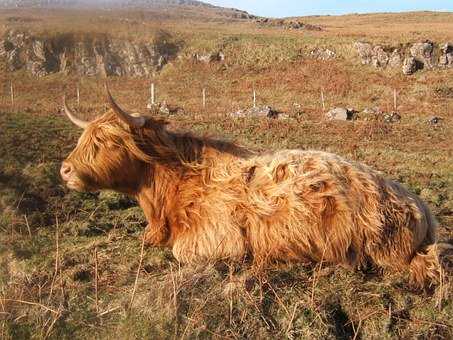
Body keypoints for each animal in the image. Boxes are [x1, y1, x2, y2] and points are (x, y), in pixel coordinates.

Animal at [59, 87, 448, 286]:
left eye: (107, 141)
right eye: (85, 136)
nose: (64, 170)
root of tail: (420, 205)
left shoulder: (216, 239)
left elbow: (182, 252)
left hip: (387, 250)